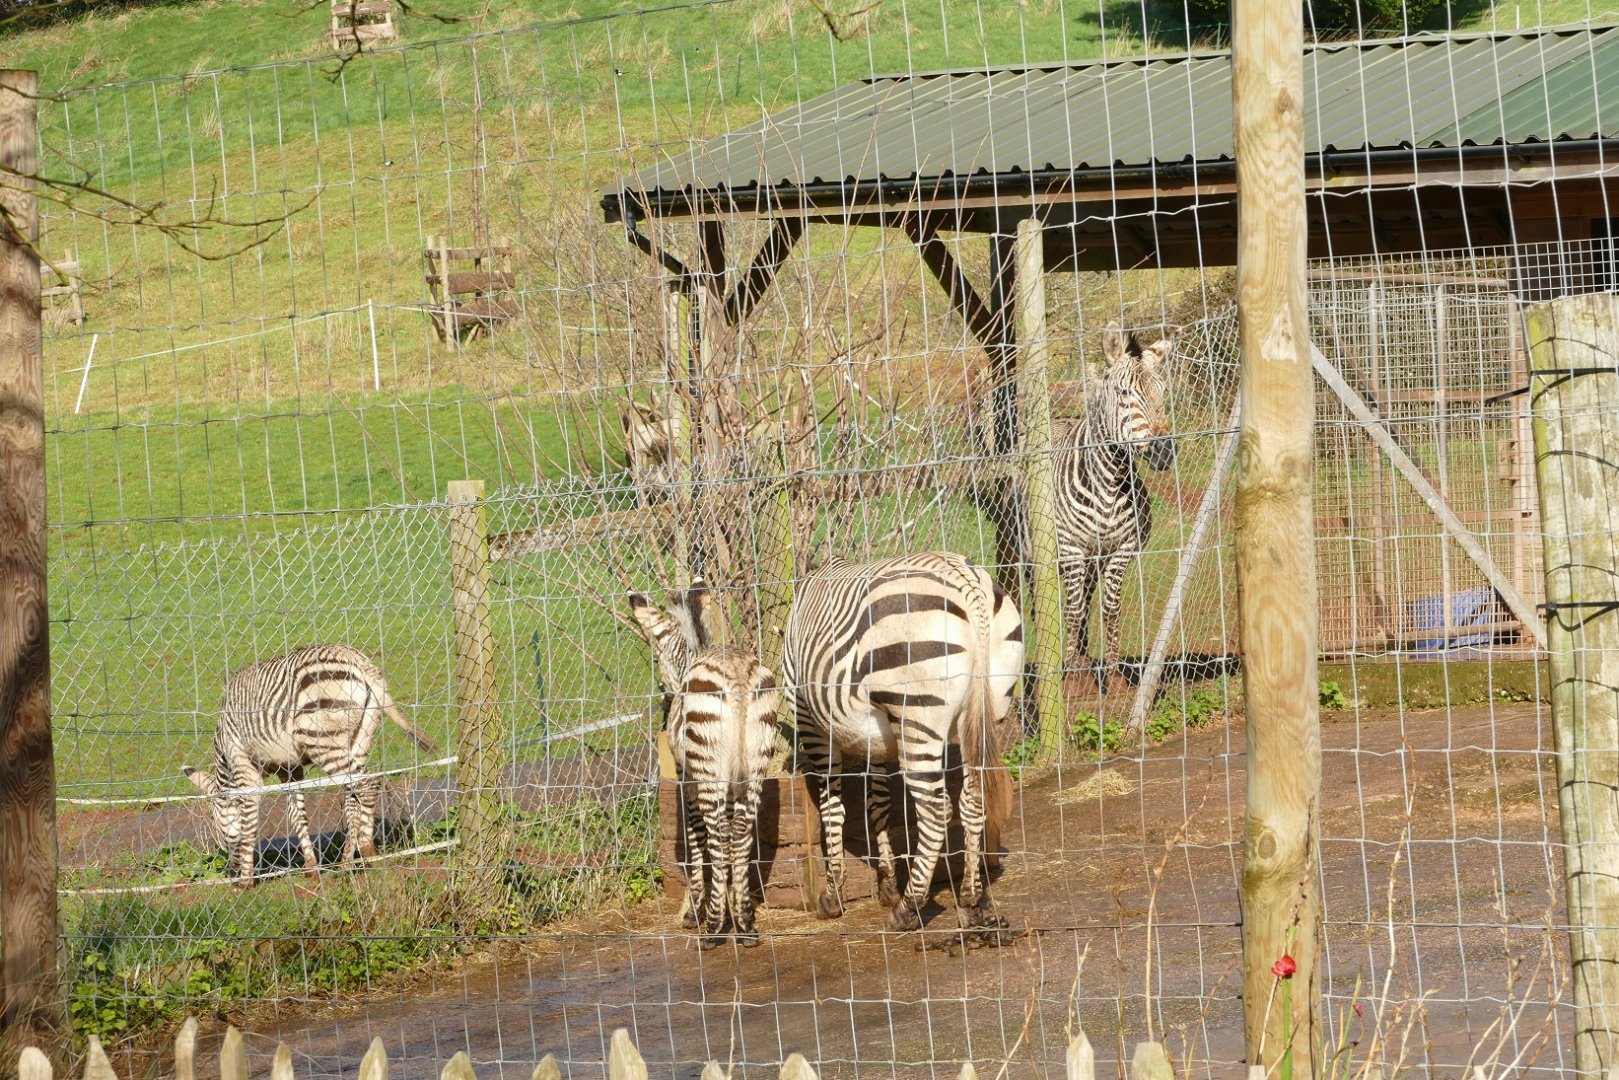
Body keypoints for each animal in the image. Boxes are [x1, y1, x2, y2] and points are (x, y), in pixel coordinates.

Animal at [183, 644, 437, 887]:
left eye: (214, 818)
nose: (231, 871)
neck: (224, 754)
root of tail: (357, 659)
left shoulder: (243, 764)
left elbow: (248, 818)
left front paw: (245, 881)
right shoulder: (289, 769)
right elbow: (297, 816)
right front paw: (311, 868)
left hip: (323, 740)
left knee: (367, 786)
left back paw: (367, 850)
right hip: (358, 738)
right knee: (354, 795)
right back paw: (347, 863)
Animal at [629, 585, 781, 947]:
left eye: (656, 659)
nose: (664, 701)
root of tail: (737, 675)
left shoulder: (687, 778)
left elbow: (695, 835)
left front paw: (694, 910)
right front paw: (733, 904)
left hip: (708, 766)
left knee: (717, 832)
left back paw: (713, 928)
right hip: (757, 762)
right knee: (740, 832)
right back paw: (745, 926)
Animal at [782, 551, 1024, 940]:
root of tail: (965, 580)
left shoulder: (810, 721)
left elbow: (833, 808)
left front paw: (833, 895)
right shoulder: (877, 739)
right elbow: (878, 804)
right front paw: (886, 884)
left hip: (917, 712)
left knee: (936, 811)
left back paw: (907, 910)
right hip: (990, 708)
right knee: (972, 800)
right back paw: (971, 898)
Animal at [1055, 323, 1178, 693]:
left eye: (1162, 393)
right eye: (1124, 393)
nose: (1164, 451)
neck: (1110, 482)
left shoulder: (1123, 548)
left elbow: (1109, 608)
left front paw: (1111, 672)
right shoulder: (1071, 547)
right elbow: (1073, 609)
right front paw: (1072, 680)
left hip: (1093, 559)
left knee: (1085, 597)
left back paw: (1082, 656)